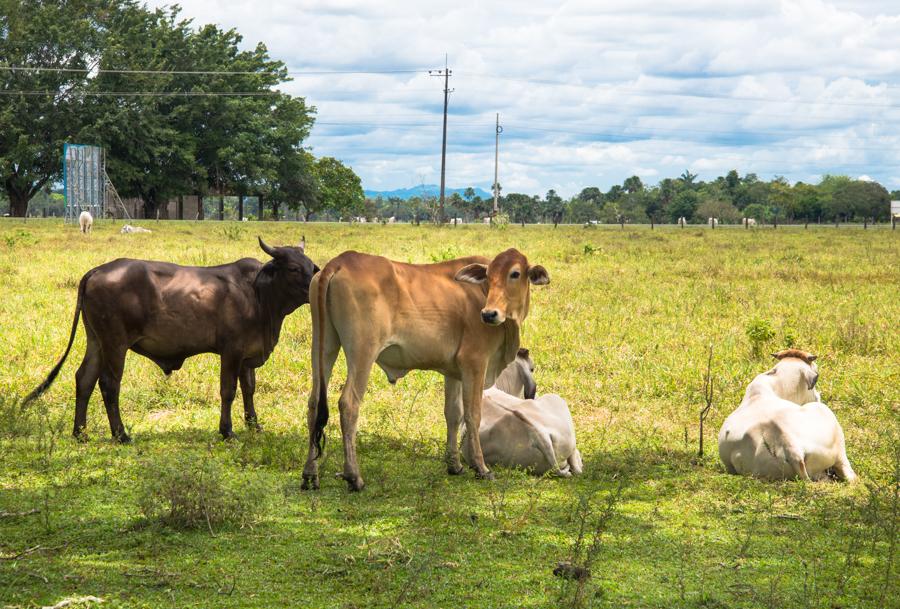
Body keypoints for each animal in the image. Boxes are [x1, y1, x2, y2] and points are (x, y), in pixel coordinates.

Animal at [23, 236, 320, 442]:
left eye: (310, 265)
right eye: (294, 268)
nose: (316, 283)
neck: (258, 294)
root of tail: (97, 271)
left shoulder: (248, 354)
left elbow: (249, 389)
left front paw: (254, 425)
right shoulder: (231, 351)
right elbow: (228, 391)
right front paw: (227, 431)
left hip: (96, 341)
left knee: (84, 379)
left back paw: (80, 433)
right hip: (115, 343)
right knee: (108, 384)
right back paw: (121, 434)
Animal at [300, 247, 548, 490]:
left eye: (514, 273)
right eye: (488, 275)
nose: (488, 314)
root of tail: (341, 261)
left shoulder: (454, 372)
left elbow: (454, 414)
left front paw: (454, 465)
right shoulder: (475, 362)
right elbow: (473, 415)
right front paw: (481, 468)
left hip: (323, 346)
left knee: (314, 404)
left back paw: (310, 474)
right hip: (362, 351)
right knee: (349, 404)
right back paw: (354, 476)